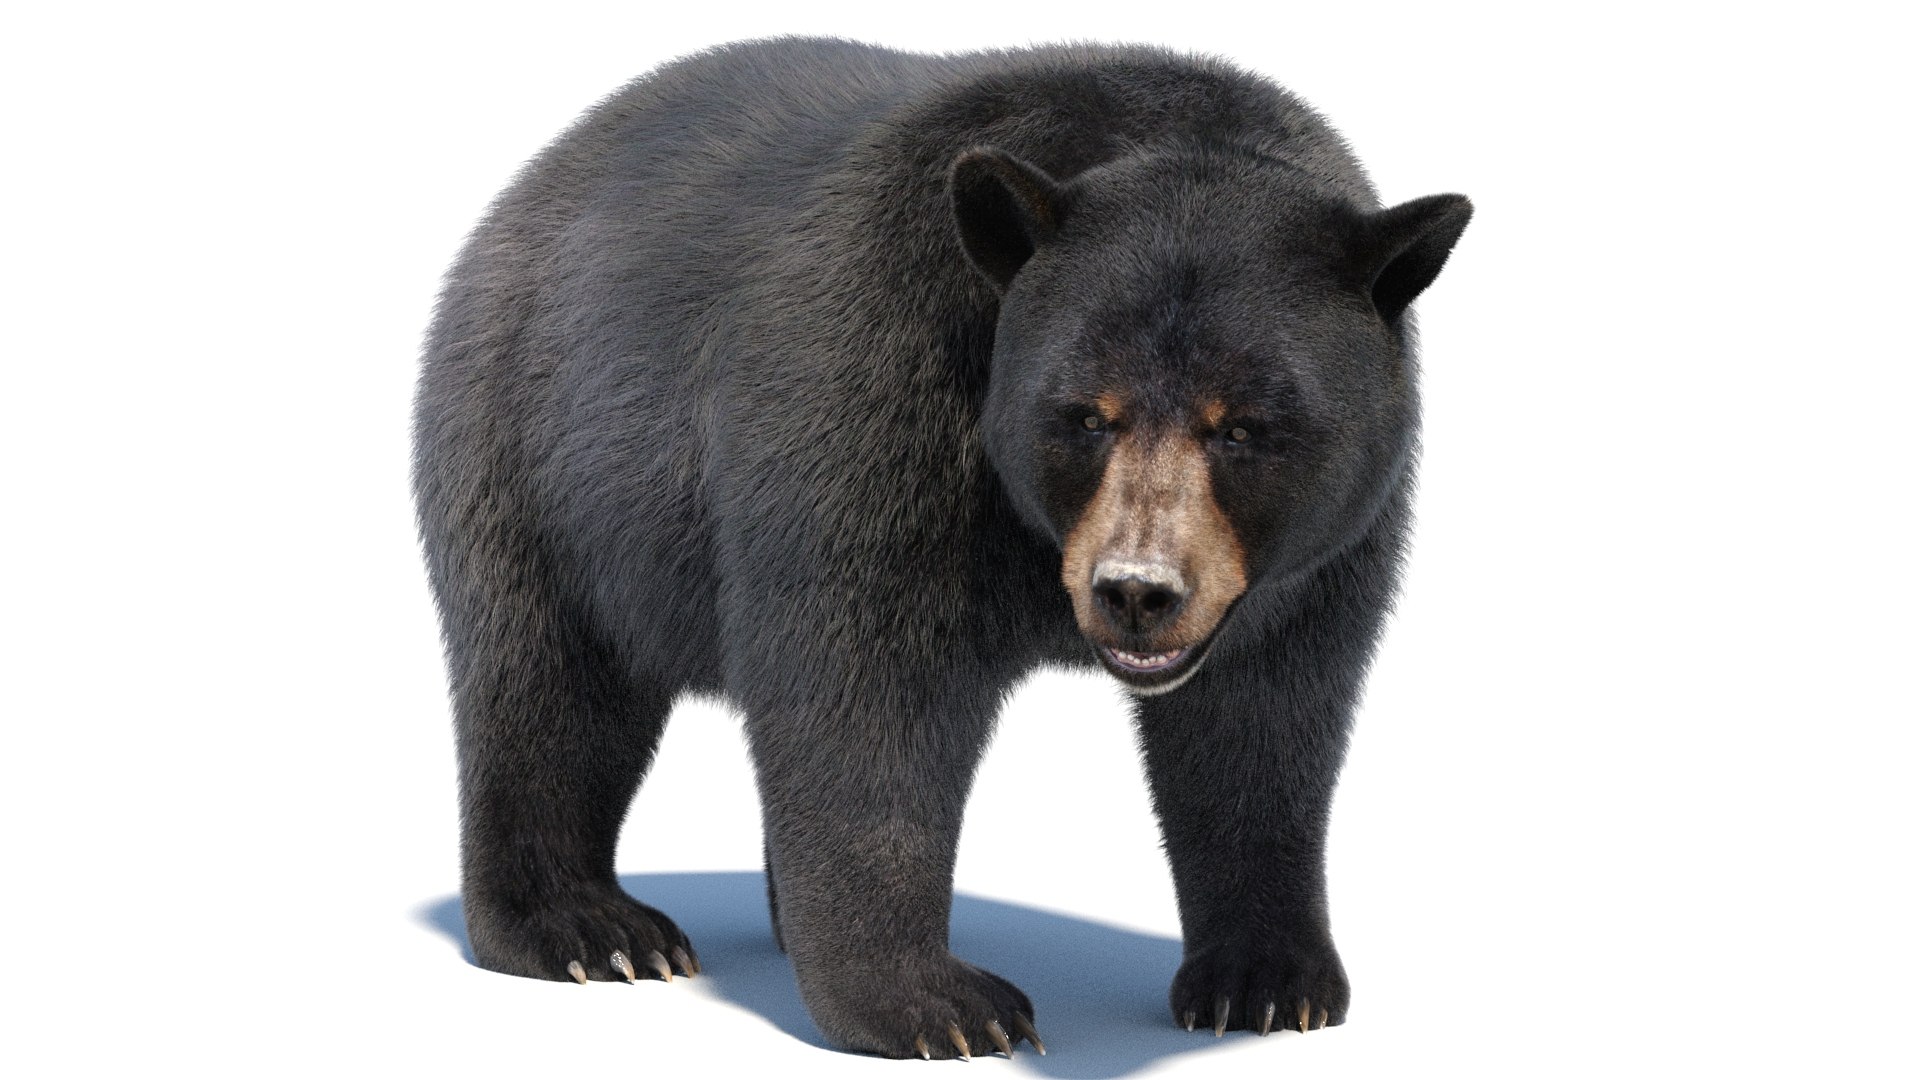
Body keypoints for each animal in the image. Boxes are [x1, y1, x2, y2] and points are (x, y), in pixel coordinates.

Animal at [413, 36, 1470, 1060]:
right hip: (537, 450)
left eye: (1244, 427)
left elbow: (1263, 720)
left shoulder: (1322, 552)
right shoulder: (886, 375)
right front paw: (936, 1003)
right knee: (549, 683)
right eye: (1085, 414)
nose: (1136, 591)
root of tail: (531, 181)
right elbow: (866, 691)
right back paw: (588, 929)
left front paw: (1267, 982)